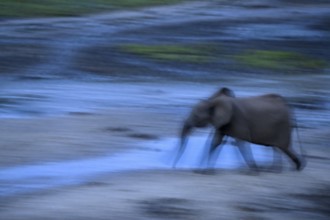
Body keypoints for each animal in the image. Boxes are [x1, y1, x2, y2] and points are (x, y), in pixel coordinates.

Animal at [173, 88, 304, 171]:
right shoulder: (223, 123)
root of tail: (287, 105)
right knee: (279, 148)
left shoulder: (238, 120)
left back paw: (294, 167)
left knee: (283, 147)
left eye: (196, 116)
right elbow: (216, 142)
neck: (213, 101)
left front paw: (254, 169)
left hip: (282, 126)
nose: (173, 167)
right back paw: (285, 168)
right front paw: (203, 170)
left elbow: (241, 142)